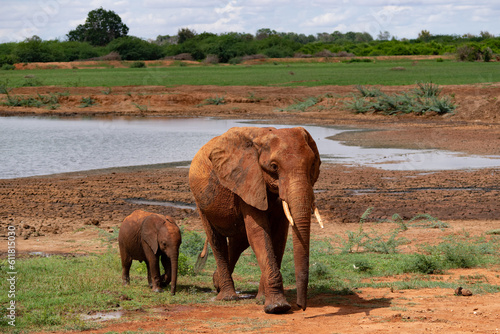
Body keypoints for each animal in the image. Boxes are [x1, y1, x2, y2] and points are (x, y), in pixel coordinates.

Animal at [188, 126, 324, 314]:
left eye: (312, 164)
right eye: (274, 167)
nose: (301, 307)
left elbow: (278, 237)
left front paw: (262, 300)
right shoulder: (247, 180)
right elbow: (259, 233)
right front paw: (277, 307)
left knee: (238, 243)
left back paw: (217, 283)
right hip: (201, 201)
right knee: (217, 241)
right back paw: (228, 297)